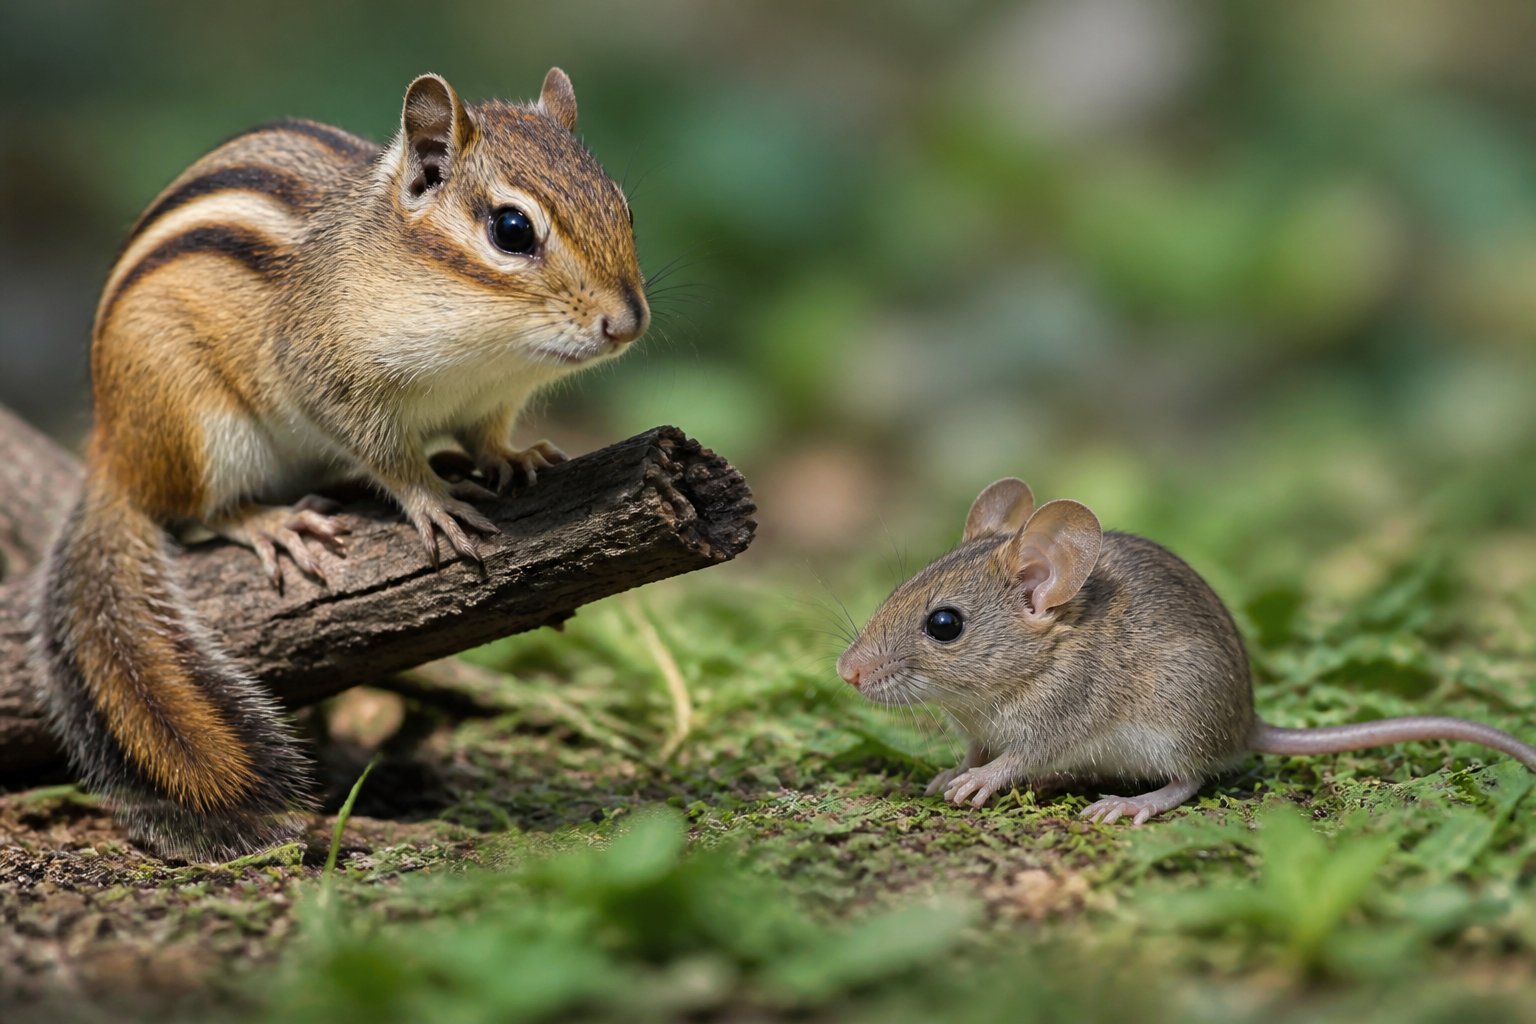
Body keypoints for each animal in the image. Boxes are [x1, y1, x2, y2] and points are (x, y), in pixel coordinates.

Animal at [30, 68, 649, 859]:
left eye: (623, 207)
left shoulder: (493, 397)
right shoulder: (327, 377)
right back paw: (271, 523)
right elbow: (387, 455)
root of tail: (113, 455)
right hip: (199, 424)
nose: (629, 323)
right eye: (512, 230)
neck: (486, 347)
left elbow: (488, 435)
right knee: (205, 509)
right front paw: (432, 501)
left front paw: (514, 457)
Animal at [837, 478, 1536, 824]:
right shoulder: (978, 728)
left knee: (1191, 779)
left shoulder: (1053, 721)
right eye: (898, 589)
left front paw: (977, 784)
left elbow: (1013, 760)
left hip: (1169, 724)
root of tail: (1248, 725)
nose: (846, 672)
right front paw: (948, 775)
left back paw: (1129, 804)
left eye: (944, 624)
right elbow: (975, 750)